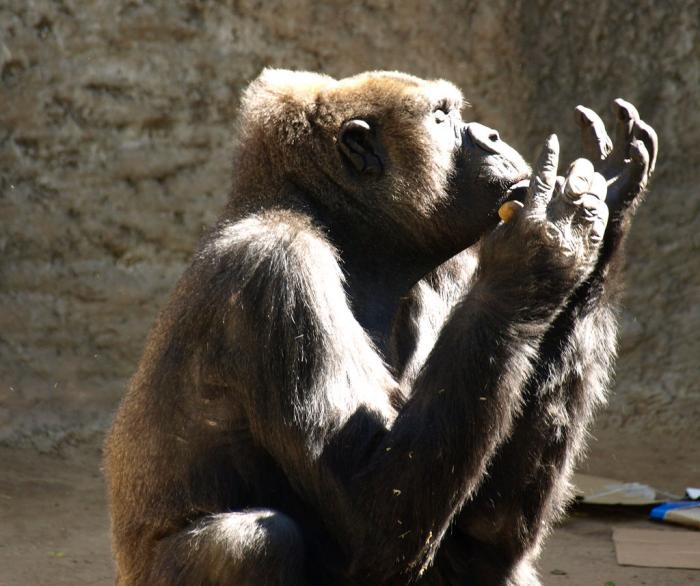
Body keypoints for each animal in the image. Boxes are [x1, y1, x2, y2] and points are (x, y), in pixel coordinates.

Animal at [104, 66, 656, 580]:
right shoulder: (277, 267)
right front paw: (543, 245)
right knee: (252, 545)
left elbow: (485, 535)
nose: (493, 136)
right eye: (441, 118)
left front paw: (609, 206)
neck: (342, 234)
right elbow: (372, 516)